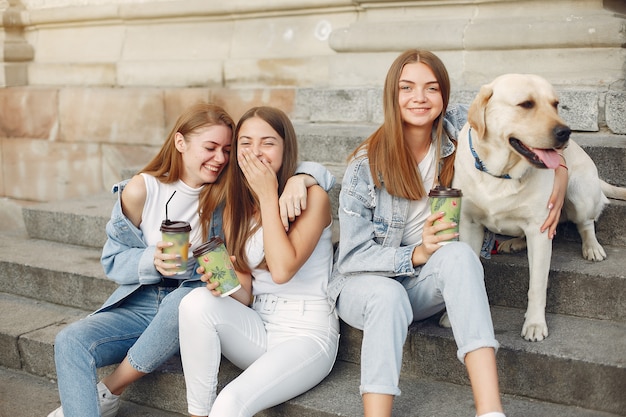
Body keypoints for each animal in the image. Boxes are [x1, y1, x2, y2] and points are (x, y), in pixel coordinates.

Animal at [450, 74, 624, 342]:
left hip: (579, 194)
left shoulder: (540, 232)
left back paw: (592, 247)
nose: (565, 132)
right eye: (526, 104)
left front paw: (534, 324)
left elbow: (537, 285)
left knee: (586, 223)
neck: (501, 174)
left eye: (556, 104)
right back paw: (514, 243)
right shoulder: (470, 224)